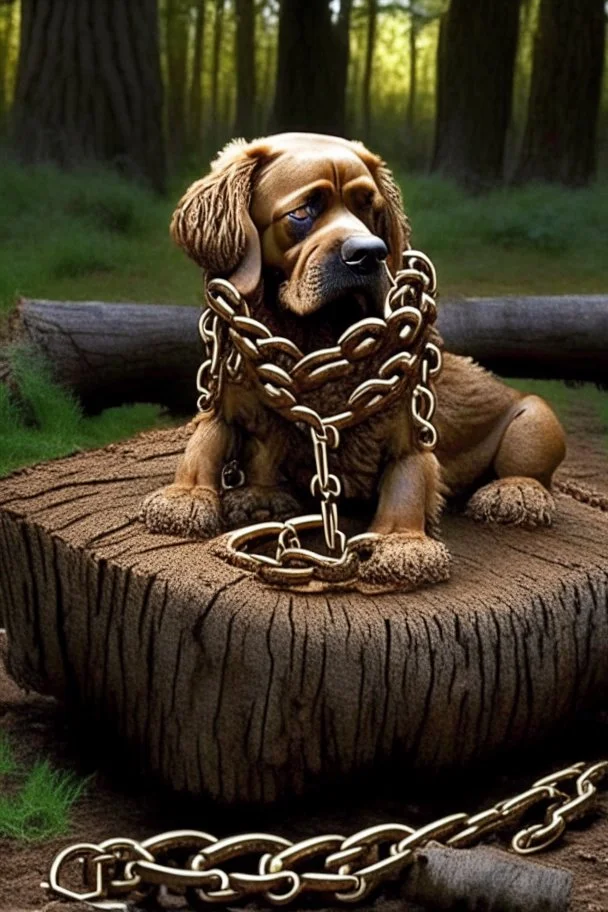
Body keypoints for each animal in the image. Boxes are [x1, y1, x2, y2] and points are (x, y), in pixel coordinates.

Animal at [141, 135, 564, 592]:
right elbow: (208, 440)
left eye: (369, 208)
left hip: (534, 416)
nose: (369, 253)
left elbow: (408, 478)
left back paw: (514, 493)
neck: (314, 339)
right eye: (304, 211)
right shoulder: (230, 394)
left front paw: (402, 545)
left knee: (527, 466)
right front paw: (194, 497)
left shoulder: (409, 422)